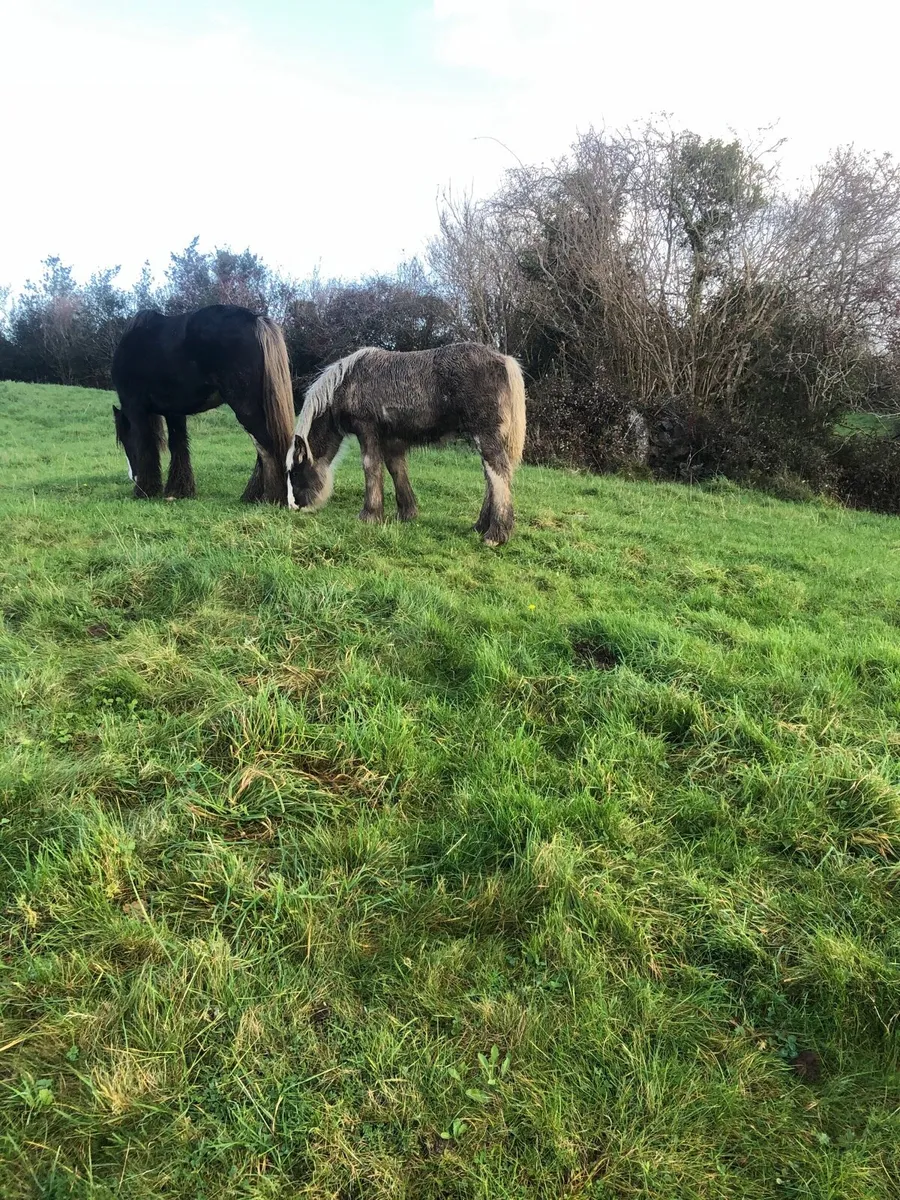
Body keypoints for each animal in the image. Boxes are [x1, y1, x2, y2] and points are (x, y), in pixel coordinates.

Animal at [111, 304, 295, 504]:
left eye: (123, 439)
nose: (133, 477)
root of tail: (256, 320)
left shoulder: (136, 409)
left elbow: (146, 445)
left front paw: (145, 490)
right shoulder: (174, 412)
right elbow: (178, 445)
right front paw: (178, 490)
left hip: (247, 408)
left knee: (267, 447)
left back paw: (273, 498)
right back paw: (252, 496)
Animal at [285, 342, 527, 545]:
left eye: (295, 471)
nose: (296, 505)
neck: (346, 382)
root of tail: (505, 360)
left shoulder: (367, 429)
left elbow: (370, 466)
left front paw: (369, 515)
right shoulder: (392, 439)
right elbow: (396, 469)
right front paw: (406, 513)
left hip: (484, 434)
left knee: (498, 472)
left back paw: (496, 534)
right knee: (492, 476)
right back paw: (481, 526)